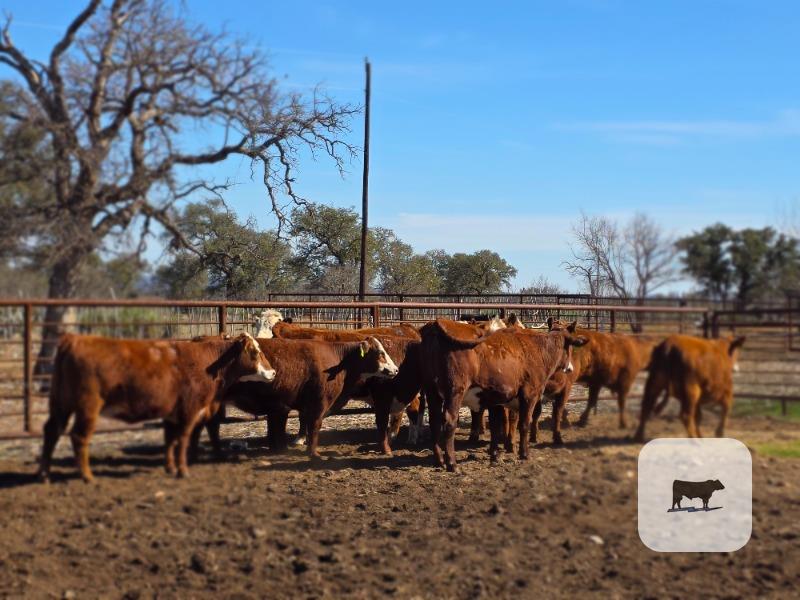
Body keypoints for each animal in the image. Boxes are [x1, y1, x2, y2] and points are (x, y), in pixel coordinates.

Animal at [38, 332, 276, 482]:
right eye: (255, 351)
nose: (273, 372)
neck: (206, 362)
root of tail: (74, 339)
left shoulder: (171, 413)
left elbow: (169, 439)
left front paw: (169, 467)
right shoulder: (189, 410)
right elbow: (183, 439)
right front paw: (182, 470)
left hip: (61, 403)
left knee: (51, 432)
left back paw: (45, 474)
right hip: (88, 406)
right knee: (79, 437)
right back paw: (87, 476)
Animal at [211, 336, 398, 460]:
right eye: (380, 353)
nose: (396, 369)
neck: (339, 361)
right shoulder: (318, 403)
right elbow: (314, 426)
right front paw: (314, 453)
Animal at [420, 318, 588, 471]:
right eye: (569, 347)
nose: (570, 368)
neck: (538, 350)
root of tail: (438, 322)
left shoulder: (495, 399)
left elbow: (496, 425)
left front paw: (494, 454)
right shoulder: (530, 395)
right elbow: (524, 424)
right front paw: (524, 453)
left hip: (432, 391)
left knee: (434, 422)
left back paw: (439, 460)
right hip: (455, 391)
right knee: (449, 422)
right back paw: (452, 463)